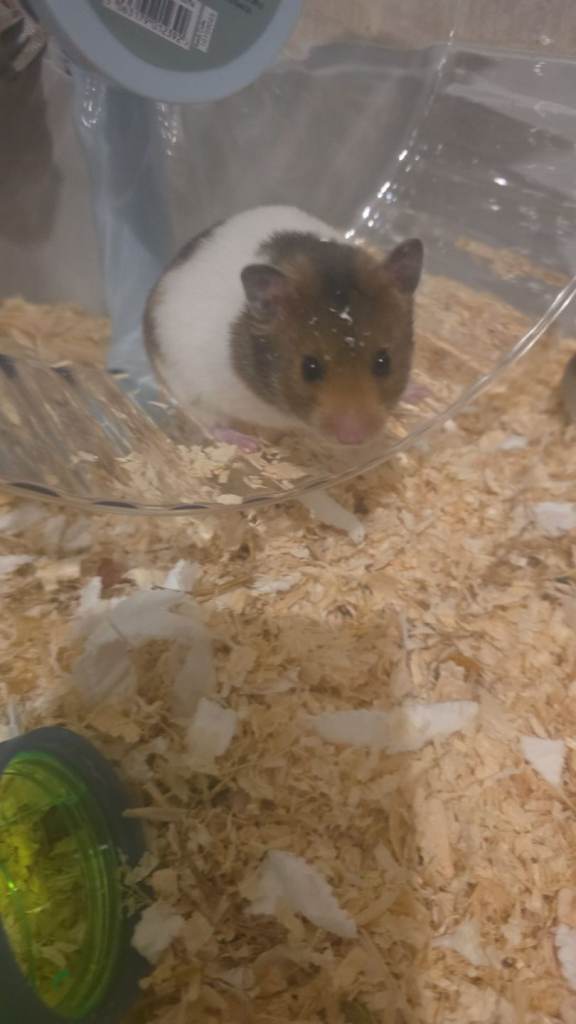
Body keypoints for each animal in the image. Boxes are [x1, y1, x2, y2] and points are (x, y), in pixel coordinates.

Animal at [144, 205, 423, 447]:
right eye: (309, 368)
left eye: (383, 362)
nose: (354, 437)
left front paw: (421, 392)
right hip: (186, 387)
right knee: (212, 426)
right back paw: (248, 444)